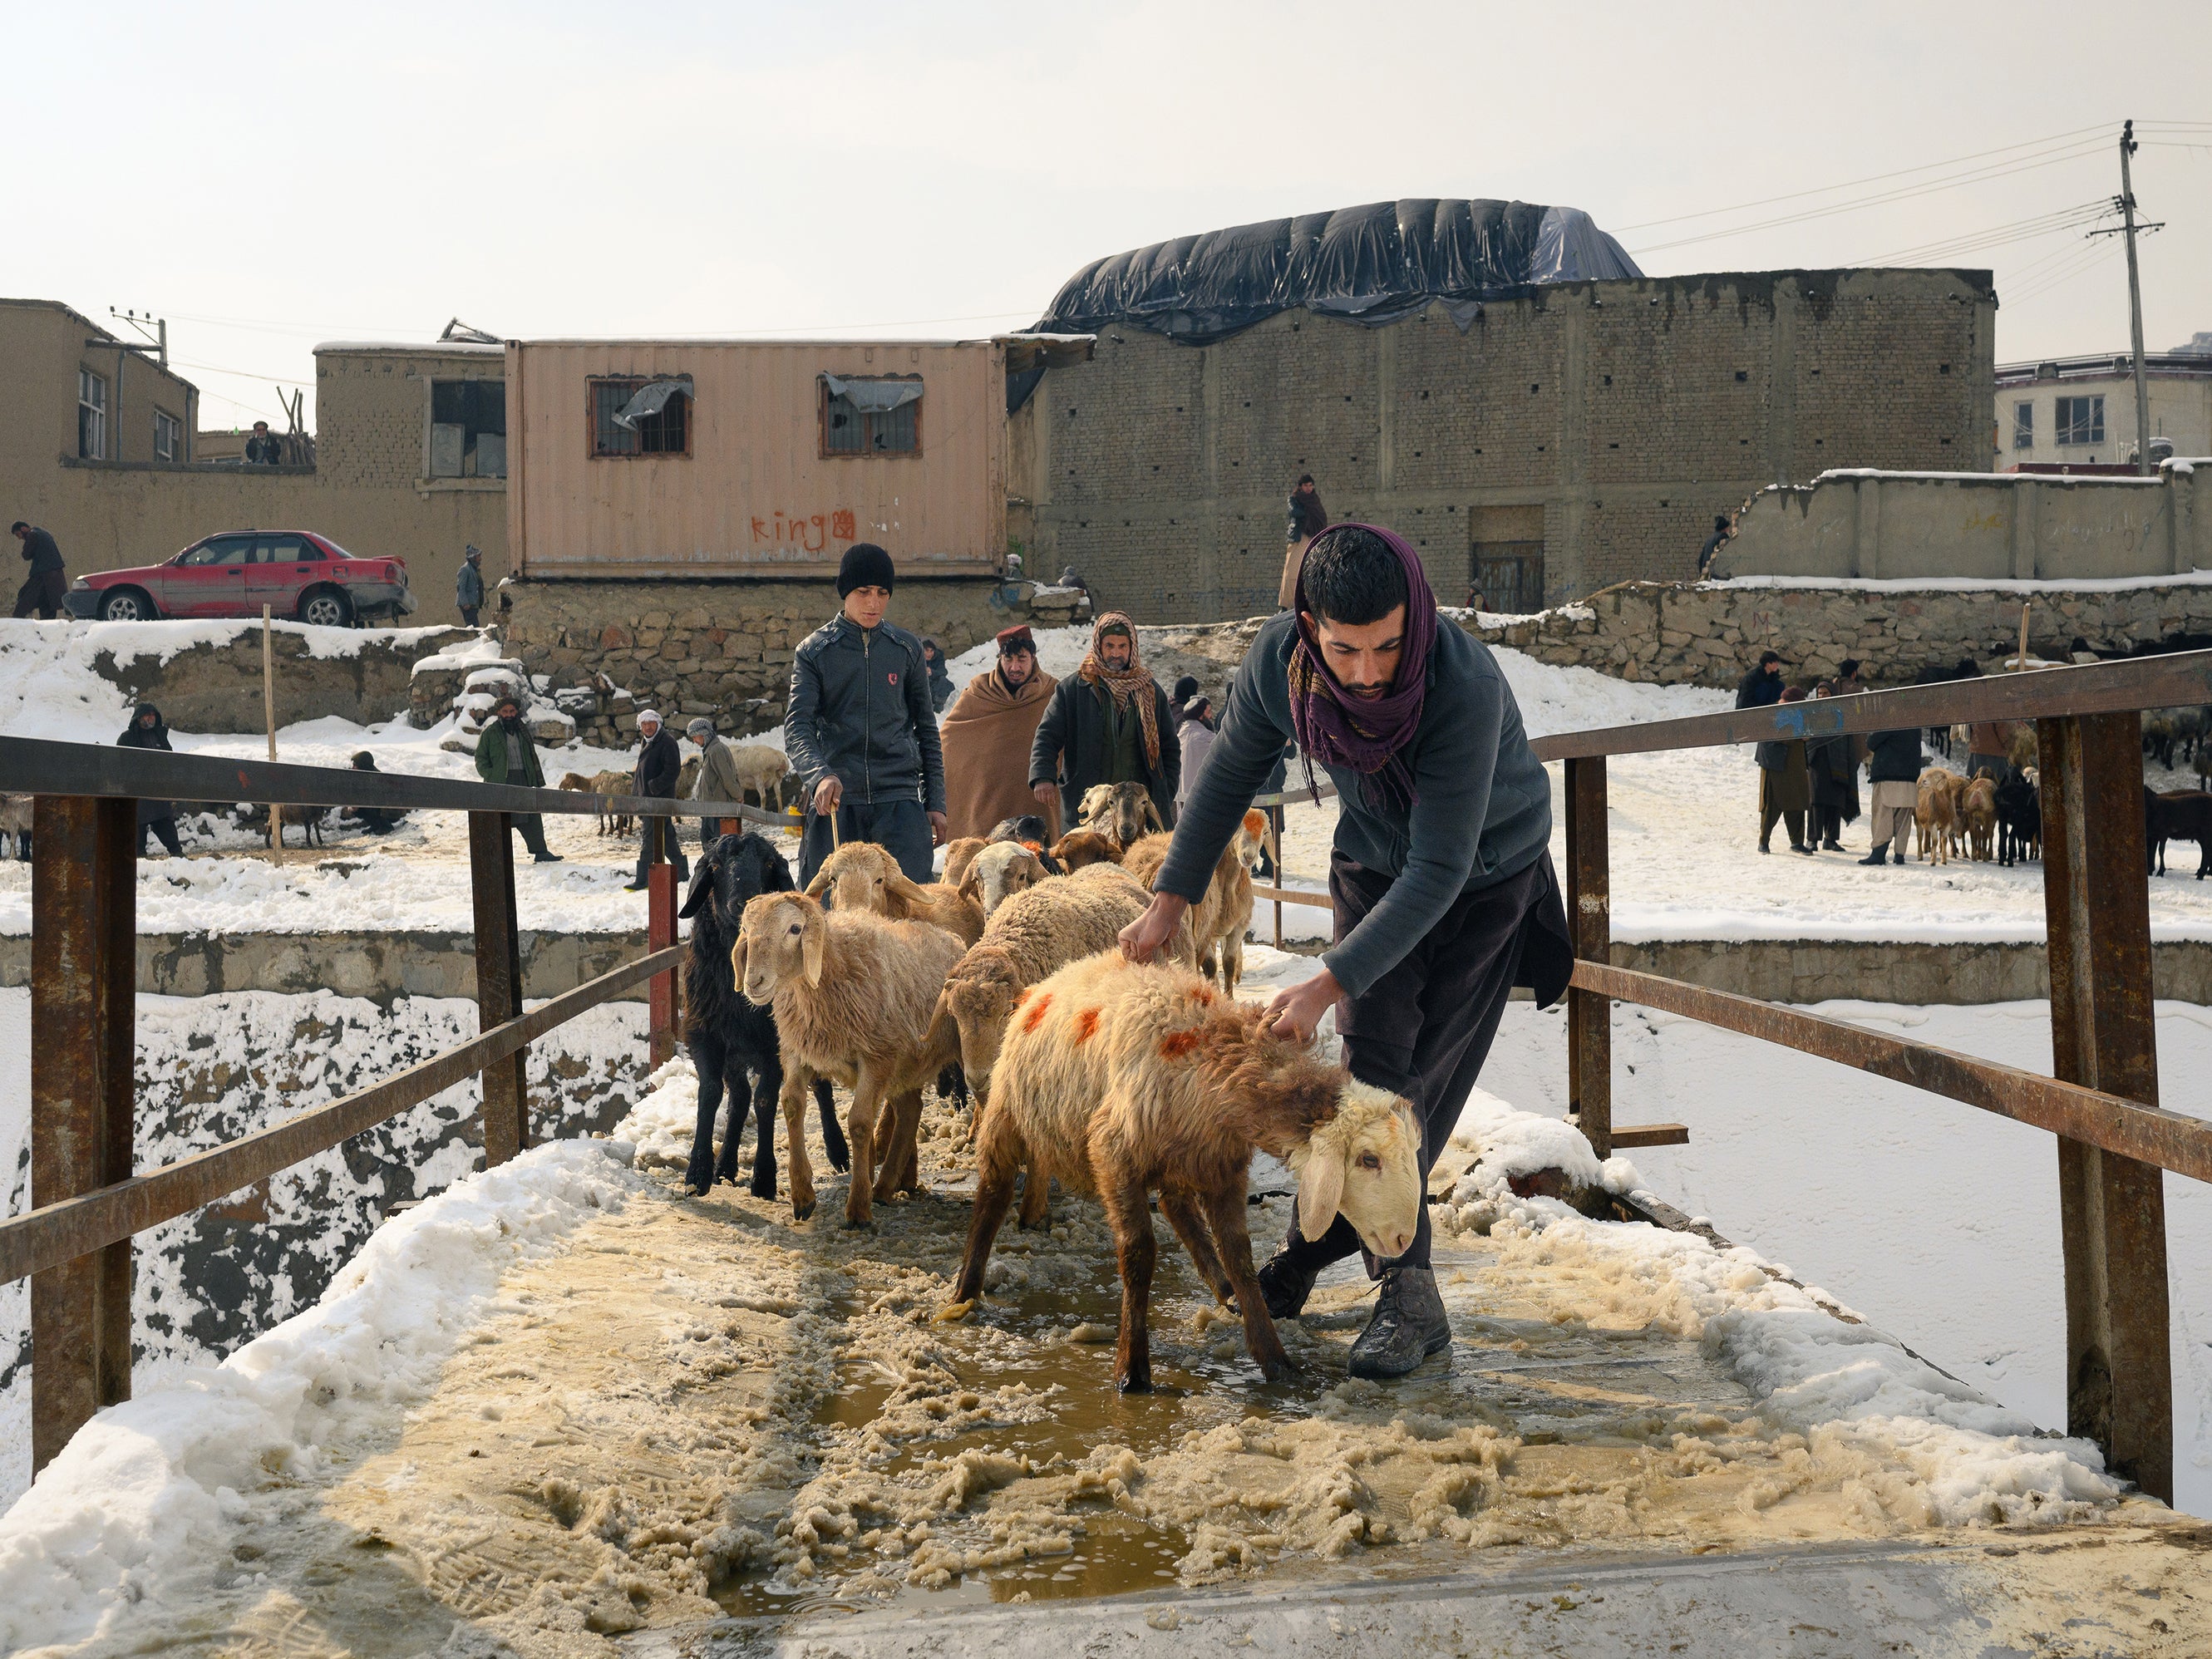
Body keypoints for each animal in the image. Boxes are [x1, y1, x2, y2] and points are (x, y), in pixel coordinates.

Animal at [672, 835, 845, 1203]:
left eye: (768, 864)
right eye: (715, 866)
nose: (743, 905)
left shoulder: (774, 1043)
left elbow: (766, 1100)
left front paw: (764, 1178)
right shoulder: (706, 1035)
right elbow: (711, 1094)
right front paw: (697, 1173)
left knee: (820, 1085)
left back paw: (838, 1151)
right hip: (735, 1052)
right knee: (738, 1098)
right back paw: (725, 1165)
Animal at [738, 889, 964, 1229]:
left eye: (795, 929)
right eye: (746, 929)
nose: (754, 982)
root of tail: (953, 938)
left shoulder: (876, 1057)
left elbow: (859, 1122)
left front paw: (858, 1208)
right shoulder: (797, 1051)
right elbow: (791, 1104)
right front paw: (802, 1196)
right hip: (905, 1064)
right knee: (911, 1109)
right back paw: (884, 1187)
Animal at [942, 955, 1424, 1397]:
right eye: (1368, 1160)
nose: (1403, 1240)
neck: (1211, 1056)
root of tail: (1062, 973)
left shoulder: (1224, 1168)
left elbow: (1240, 1256)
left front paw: (1274, 1358)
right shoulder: (1113, 1153)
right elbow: (1139, 1254)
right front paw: (1132, 1370)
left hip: (1179, 1158)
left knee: (1177, 1208)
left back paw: (1222, 1286)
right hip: (1009, 1113)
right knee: (994, 1191)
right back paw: (965, 1290)